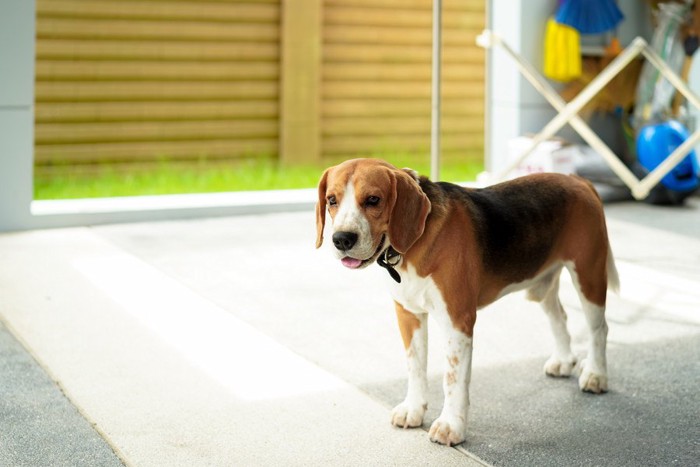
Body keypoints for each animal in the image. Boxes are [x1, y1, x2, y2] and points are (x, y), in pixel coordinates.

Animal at [316, 159, 616, 448]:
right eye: (332, 200)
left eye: (373, 200)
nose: (341, 239)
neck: (414, 245)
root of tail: (577, 180)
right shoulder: (409, 314)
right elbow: (415, 366)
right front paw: (413, 409)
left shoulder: (457, 322)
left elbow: (452, 378)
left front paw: (451, 426)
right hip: (541, 285)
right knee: (560, 318)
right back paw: (564, 361)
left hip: (588, 276)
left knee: (599, 329)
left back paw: (595, 375)